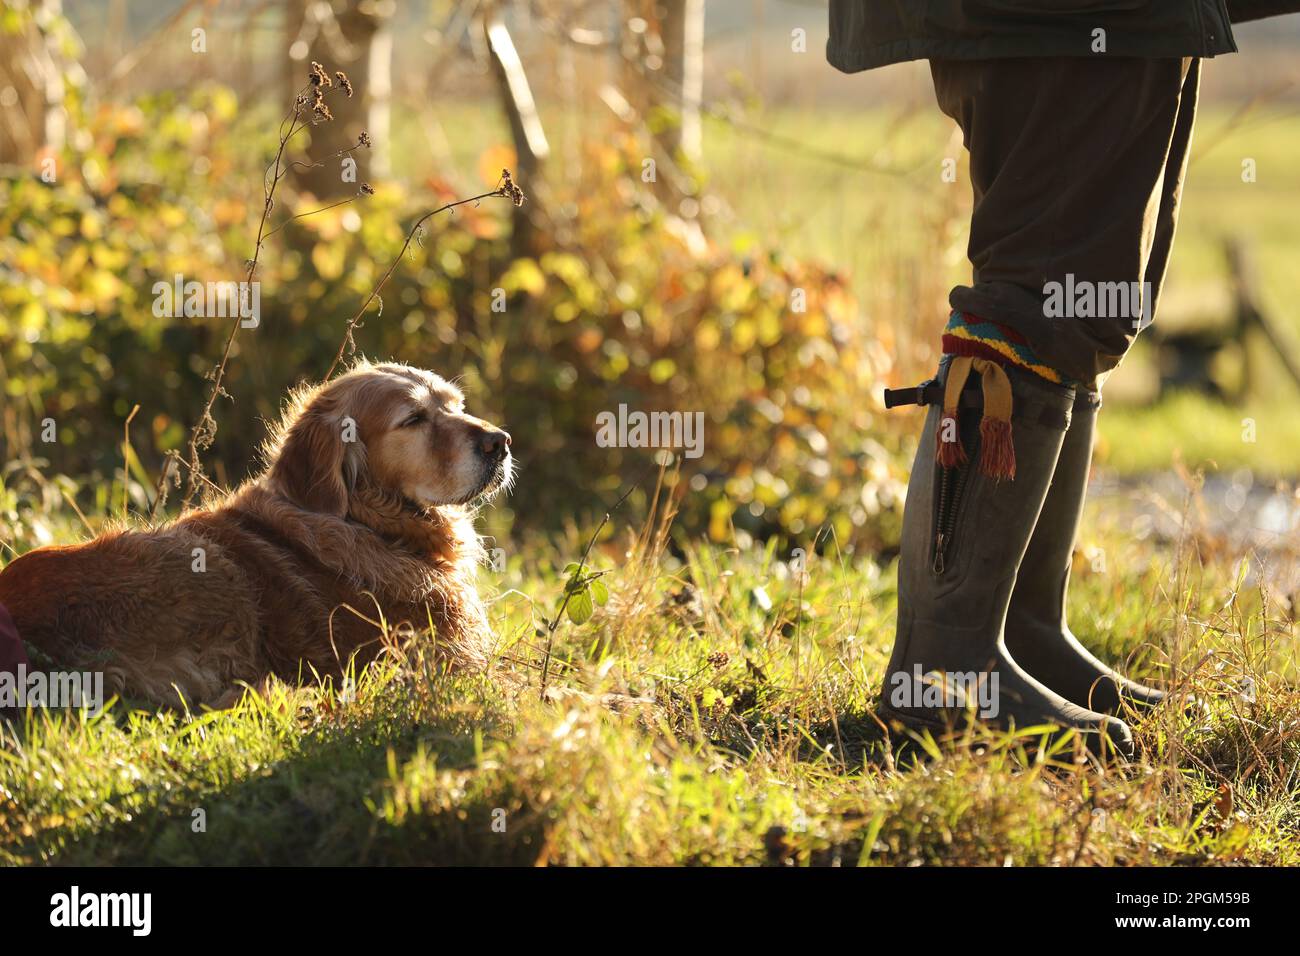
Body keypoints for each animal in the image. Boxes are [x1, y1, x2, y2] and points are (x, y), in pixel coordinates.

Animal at [0, 361, 512, 707]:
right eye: (414, 419)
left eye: (456, 406)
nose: (501, 443)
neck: (366, 522)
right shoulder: (454, 659)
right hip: (207, 565)